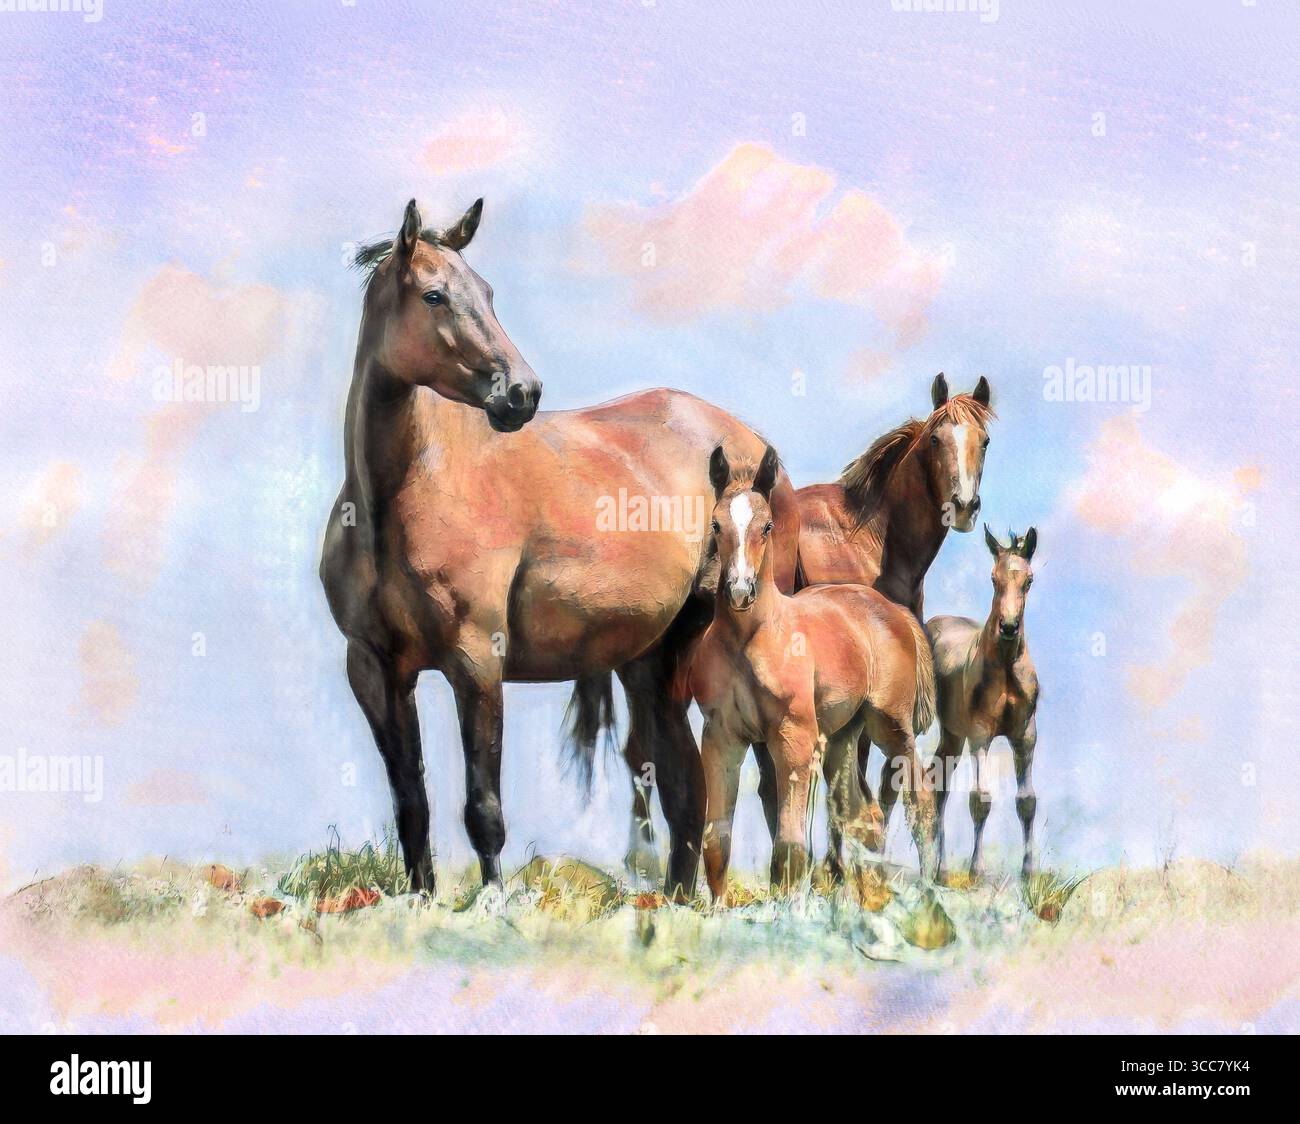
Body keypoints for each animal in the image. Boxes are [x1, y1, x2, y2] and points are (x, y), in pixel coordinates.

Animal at [320, 197, 799, 902]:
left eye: (488, 293)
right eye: (435, 295)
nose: (521, 393)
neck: (398, 500)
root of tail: (760, 451)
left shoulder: (476, 661)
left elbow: (483, 807)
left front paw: (491, 901)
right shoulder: (375, 670)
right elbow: (412, 805)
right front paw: (422, 899)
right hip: (652, 666)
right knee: (686, 790)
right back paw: (676, 903)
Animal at [688, 445, 938, 900]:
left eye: (767, 525)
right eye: (716, 524)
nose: (739, 591)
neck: (751, 636)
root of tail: (896, 611)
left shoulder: (794, 737)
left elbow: (790, 845)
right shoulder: (721, 736)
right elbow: (717, 842)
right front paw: (715, 909)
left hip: (891, 726)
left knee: (921, 799)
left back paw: (929, 890)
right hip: (843, 737)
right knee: (864, 815)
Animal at [928, 525, 1040, 881]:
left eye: (1029, 579)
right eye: (993, 578)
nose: (1008, 627)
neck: (1005, 667)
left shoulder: (1025, 734)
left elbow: (1027, 800)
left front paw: (1029, 871)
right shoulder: (981, 734)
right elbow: (981, 799)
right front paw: (977, 870)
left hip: (953, 734)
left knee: (938, 783)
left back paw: (939, 869)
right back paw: (939, 868)